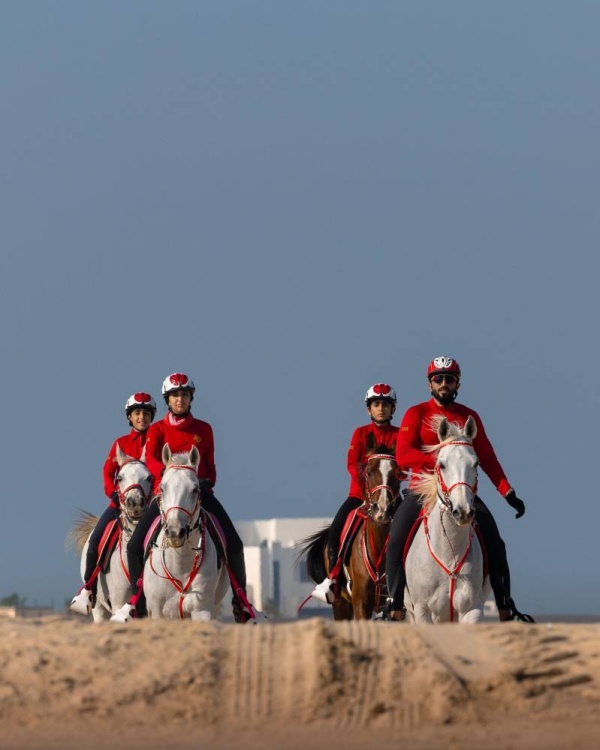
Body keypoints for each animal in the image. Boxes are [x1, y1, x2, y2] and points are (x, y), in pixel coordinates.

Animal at [142, 446, 229, 624]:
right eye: (162, 488)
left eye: (195, 489)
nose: (176, 532)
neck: (179, 562)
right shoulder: (158, 613)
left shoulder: (201, 611)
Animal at [406, 420, 490, 624]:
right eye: (441, 464)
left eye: (476, 463)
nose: (463, 512)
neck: (450, 553)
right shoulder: (423, 613)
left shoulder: (472, 610)